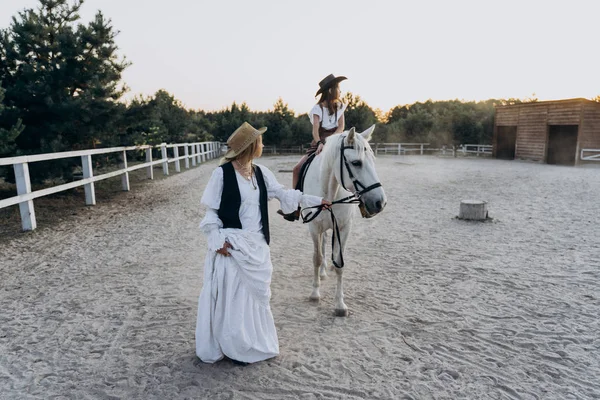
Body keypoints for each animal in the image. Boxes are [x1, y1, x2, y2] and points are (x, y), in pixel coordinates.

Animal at [302, 125, 386, 316]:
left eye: (373, 160)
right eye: (356, 163)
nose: (380, 202)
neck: (330, 193)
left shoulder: (343, 228)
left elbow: (340, 264)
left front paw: (340, 304)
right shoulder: (314, 227)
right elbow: (317, 258)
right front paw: (315, 293)